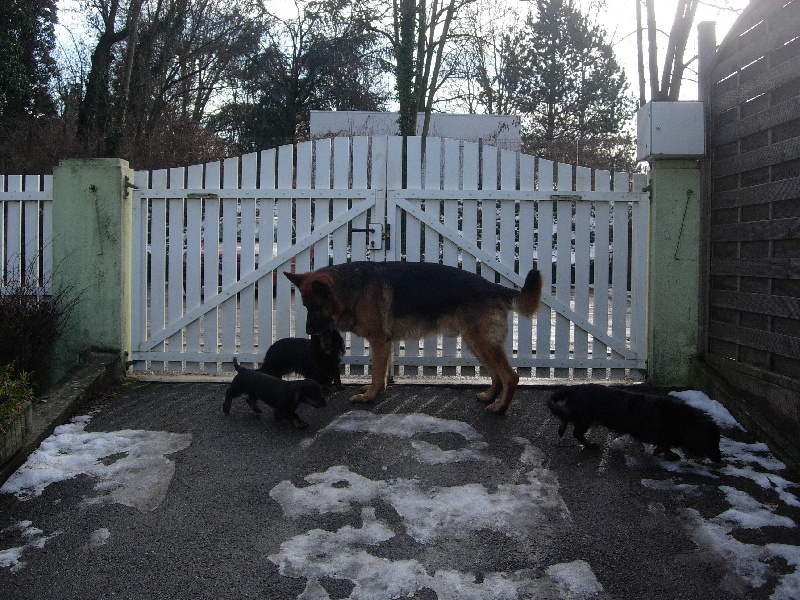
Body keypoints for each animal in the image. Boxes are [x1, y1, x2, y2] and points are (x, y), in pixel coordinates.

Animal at [284, 260, 540, 414]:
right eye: (305, 306)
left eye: (316, 306)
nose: (308, 331)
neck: (353, 289)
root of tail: (492, 286)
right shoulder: (385, 342)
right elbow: (382, 373)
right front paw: (376, 390)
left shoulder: (379, 340)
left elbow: (377, 372)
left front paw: (369, 397)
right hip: (476, 343)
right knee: (497, 375)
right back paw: (489, 397)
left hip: (481, 342)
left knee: (510, 376)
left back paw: (500, 408)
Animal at [548, 382, 720, 462]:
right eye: (710, 442)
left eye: (718, 441)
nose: (720, 461)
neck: (682, 420)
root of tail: (578, 387)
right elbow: (664, 444)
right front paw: (666, 453)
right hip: (585, 418)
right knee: (576, 431)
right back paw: (590, 444)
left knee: (565, 417)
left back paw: (562, 430)